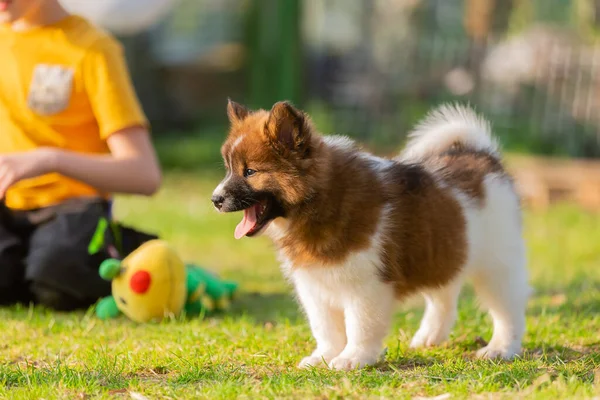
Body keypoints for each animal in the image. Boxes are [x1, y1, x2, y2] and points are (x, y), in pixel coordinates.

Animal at [212, 100, 528, 372]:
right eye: (229, 169)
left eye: (250, 171)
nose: (215, 199)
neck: (320, 202)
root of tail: (483, 156)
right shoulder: (314, 287)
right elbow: (325, 328)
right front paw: (323, 357)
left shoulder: (366, 286)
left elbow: (359, 326)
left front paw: (352, 358)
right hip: (444, 250)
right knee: (444, 296)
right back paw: (429, 337)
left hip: (497, 265)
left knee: (507, 309)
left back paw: (500, 349)